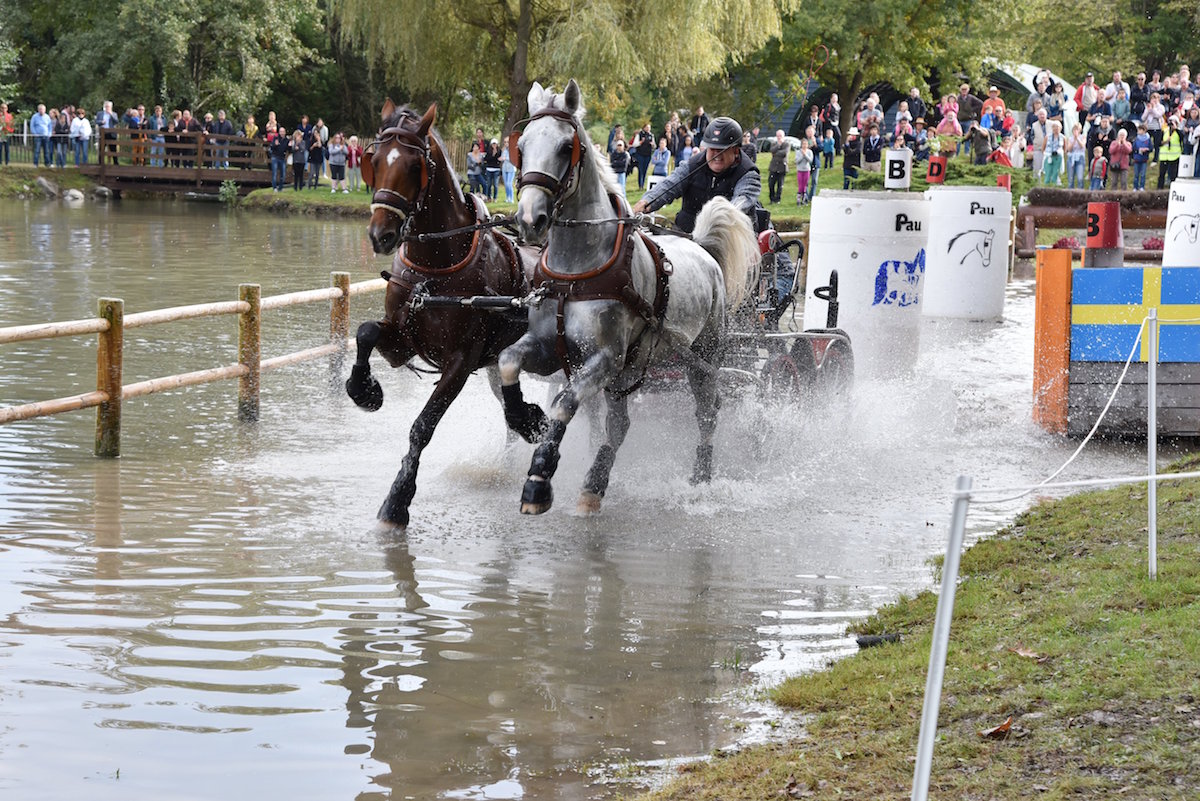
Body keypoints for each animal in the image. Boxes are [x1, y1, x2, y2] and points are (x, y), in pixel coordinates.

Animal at [345, 101, 530, 527]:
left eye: (415, 165)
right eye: (374, 160)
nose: (381, 235)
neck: (436, 268)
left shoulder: (460, 362)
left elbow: (423, 426)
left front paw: (398, 499)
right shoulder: (401, 340)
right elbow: (365, 332)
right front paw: (365, 390)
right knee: (509, 407)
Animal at [498, 79, 758, 516]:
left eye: (565, 146)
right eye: (524, 144)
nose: (530, 219)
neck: (577, 270)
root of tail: (703, 248)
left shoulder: (606, 357)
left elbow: (564, 403)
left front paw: (538, 479)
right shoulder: (549, 348)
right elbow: (507, 361)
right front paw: (524, 418)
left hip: (701, 358)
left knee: (707, 411)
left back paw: (700, 477)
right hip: (628, 372)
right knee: (618, 426)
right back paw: (595, 483)